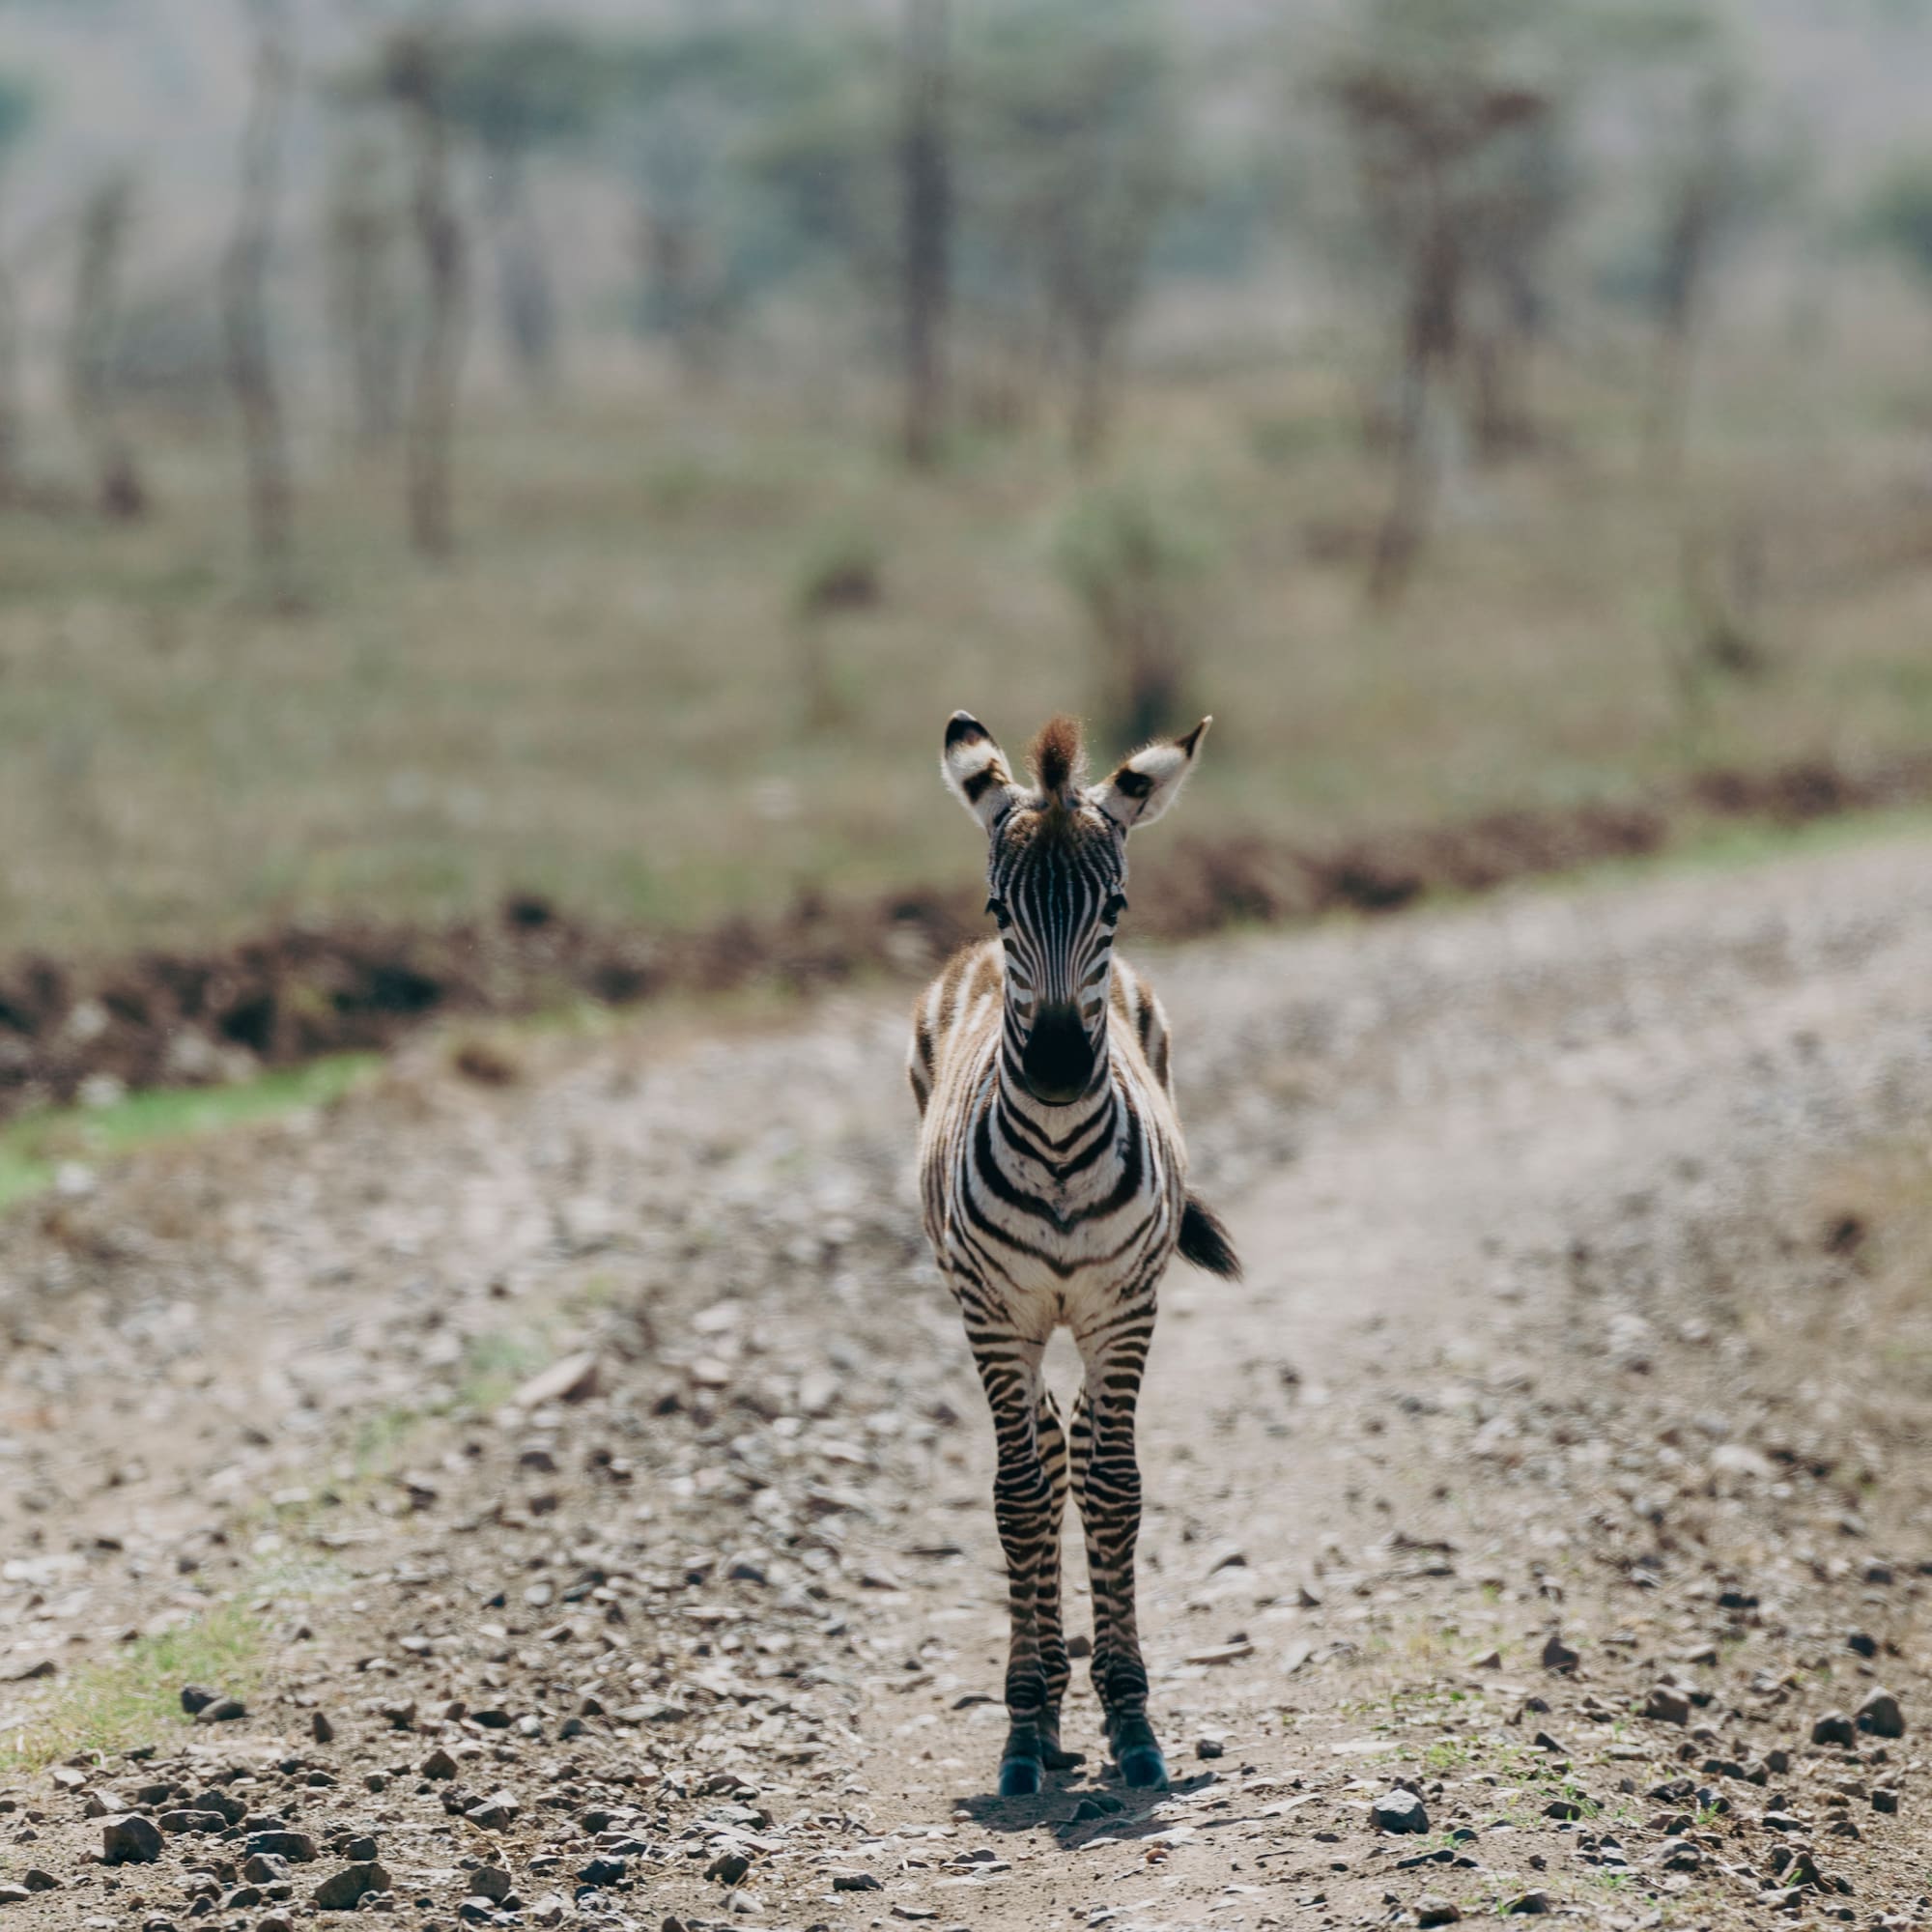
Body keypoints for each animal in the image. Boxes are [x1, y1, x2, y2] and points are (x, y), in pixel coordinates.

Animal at [908, 708, 1240, 1798]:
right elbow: (1018, 1497)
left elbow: (1117, 1488)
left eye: (1117, 906)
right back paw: (1049, 1703)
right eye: (997, 904)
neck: (1055, 1147)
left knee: (1082, 1447)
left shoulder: (1123, 1309)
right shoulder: (993, 1315)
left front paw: (1132, 1718)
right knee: (1049, 1453)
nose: (1056, 1066)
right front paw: (1022, 1729)